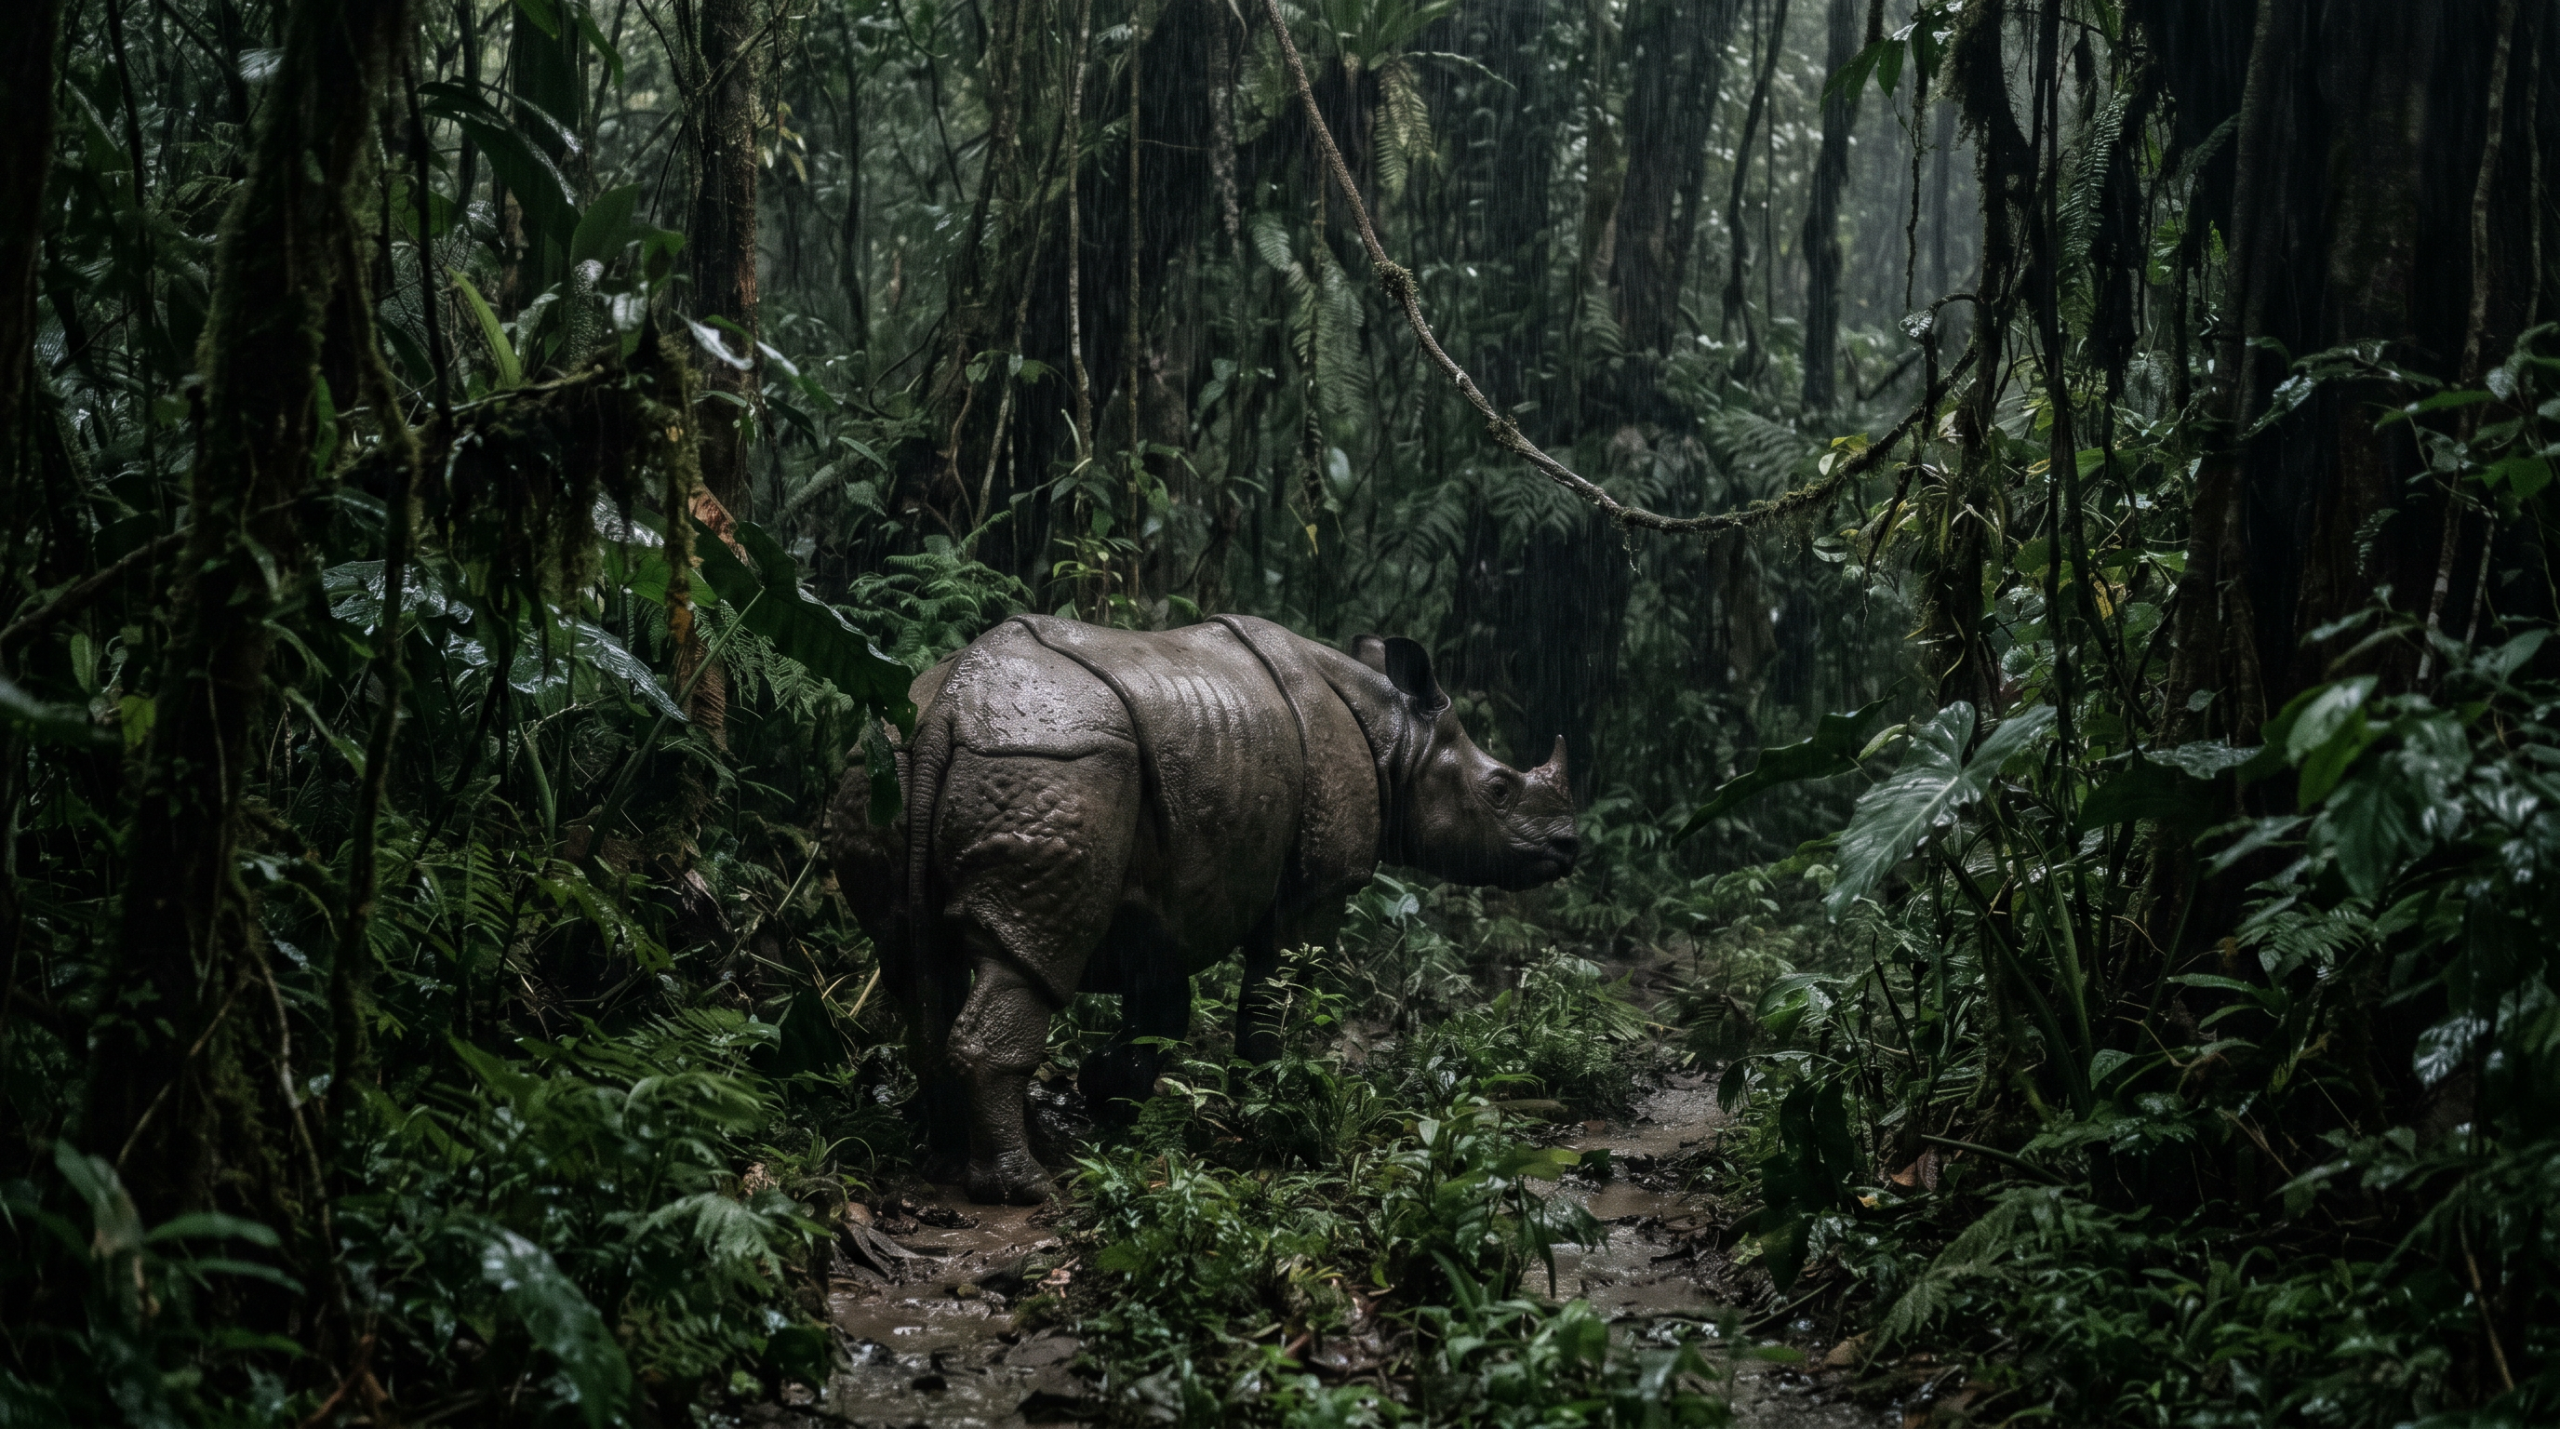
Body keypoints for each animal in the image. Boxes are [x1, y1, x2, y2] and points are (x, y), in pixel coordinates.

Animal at [826, 613, 1576, 1204]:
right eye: (1500, 790)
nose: (1568, 845)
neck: (1398, 736)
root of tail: (948, 708)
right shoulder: (1319, 882)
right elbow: (1276, 987)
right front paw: (1278, 1101)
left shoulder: (1166, 888)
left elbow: (1162, 1001)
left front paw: (1110, 1092)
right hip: (1056, 761)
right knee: (1030, 952)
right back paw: (1025, 1186)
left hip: (883, 762)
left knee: (915, 959)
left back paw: (956, 1154)